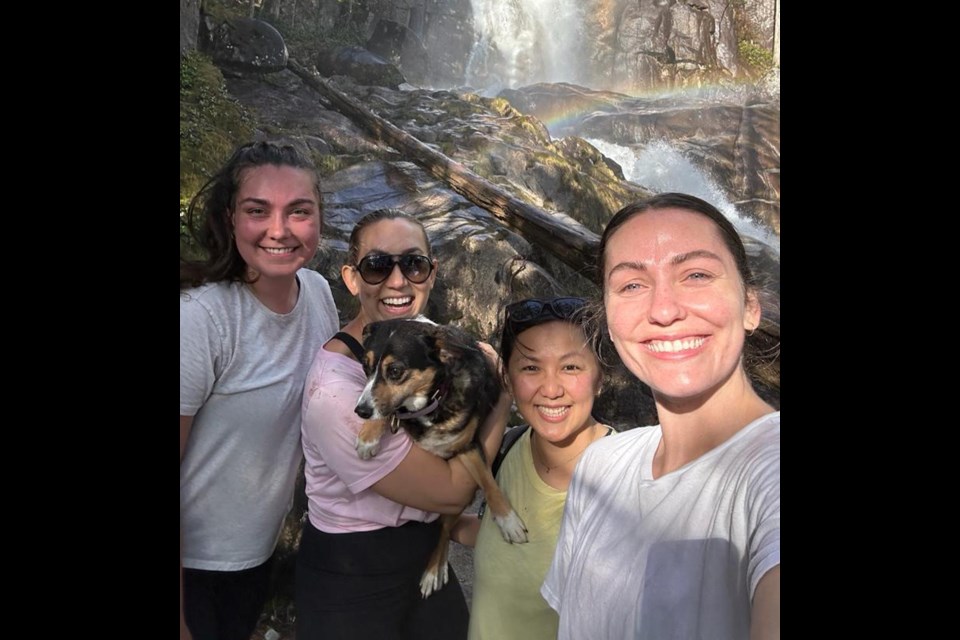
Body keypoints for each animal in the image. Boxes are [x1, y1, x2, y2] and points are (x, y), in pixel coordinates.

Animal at [354, 318, 528, 596]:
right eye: (365, 366)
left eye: (395, 371)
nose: (360, 411)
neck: (427, 406)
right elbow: (389, 410)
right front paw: (369, 435)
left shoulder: (467, 447)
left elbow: (489, 483)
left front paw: (508, 521)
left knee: (445, 529)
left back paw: (434, 571)